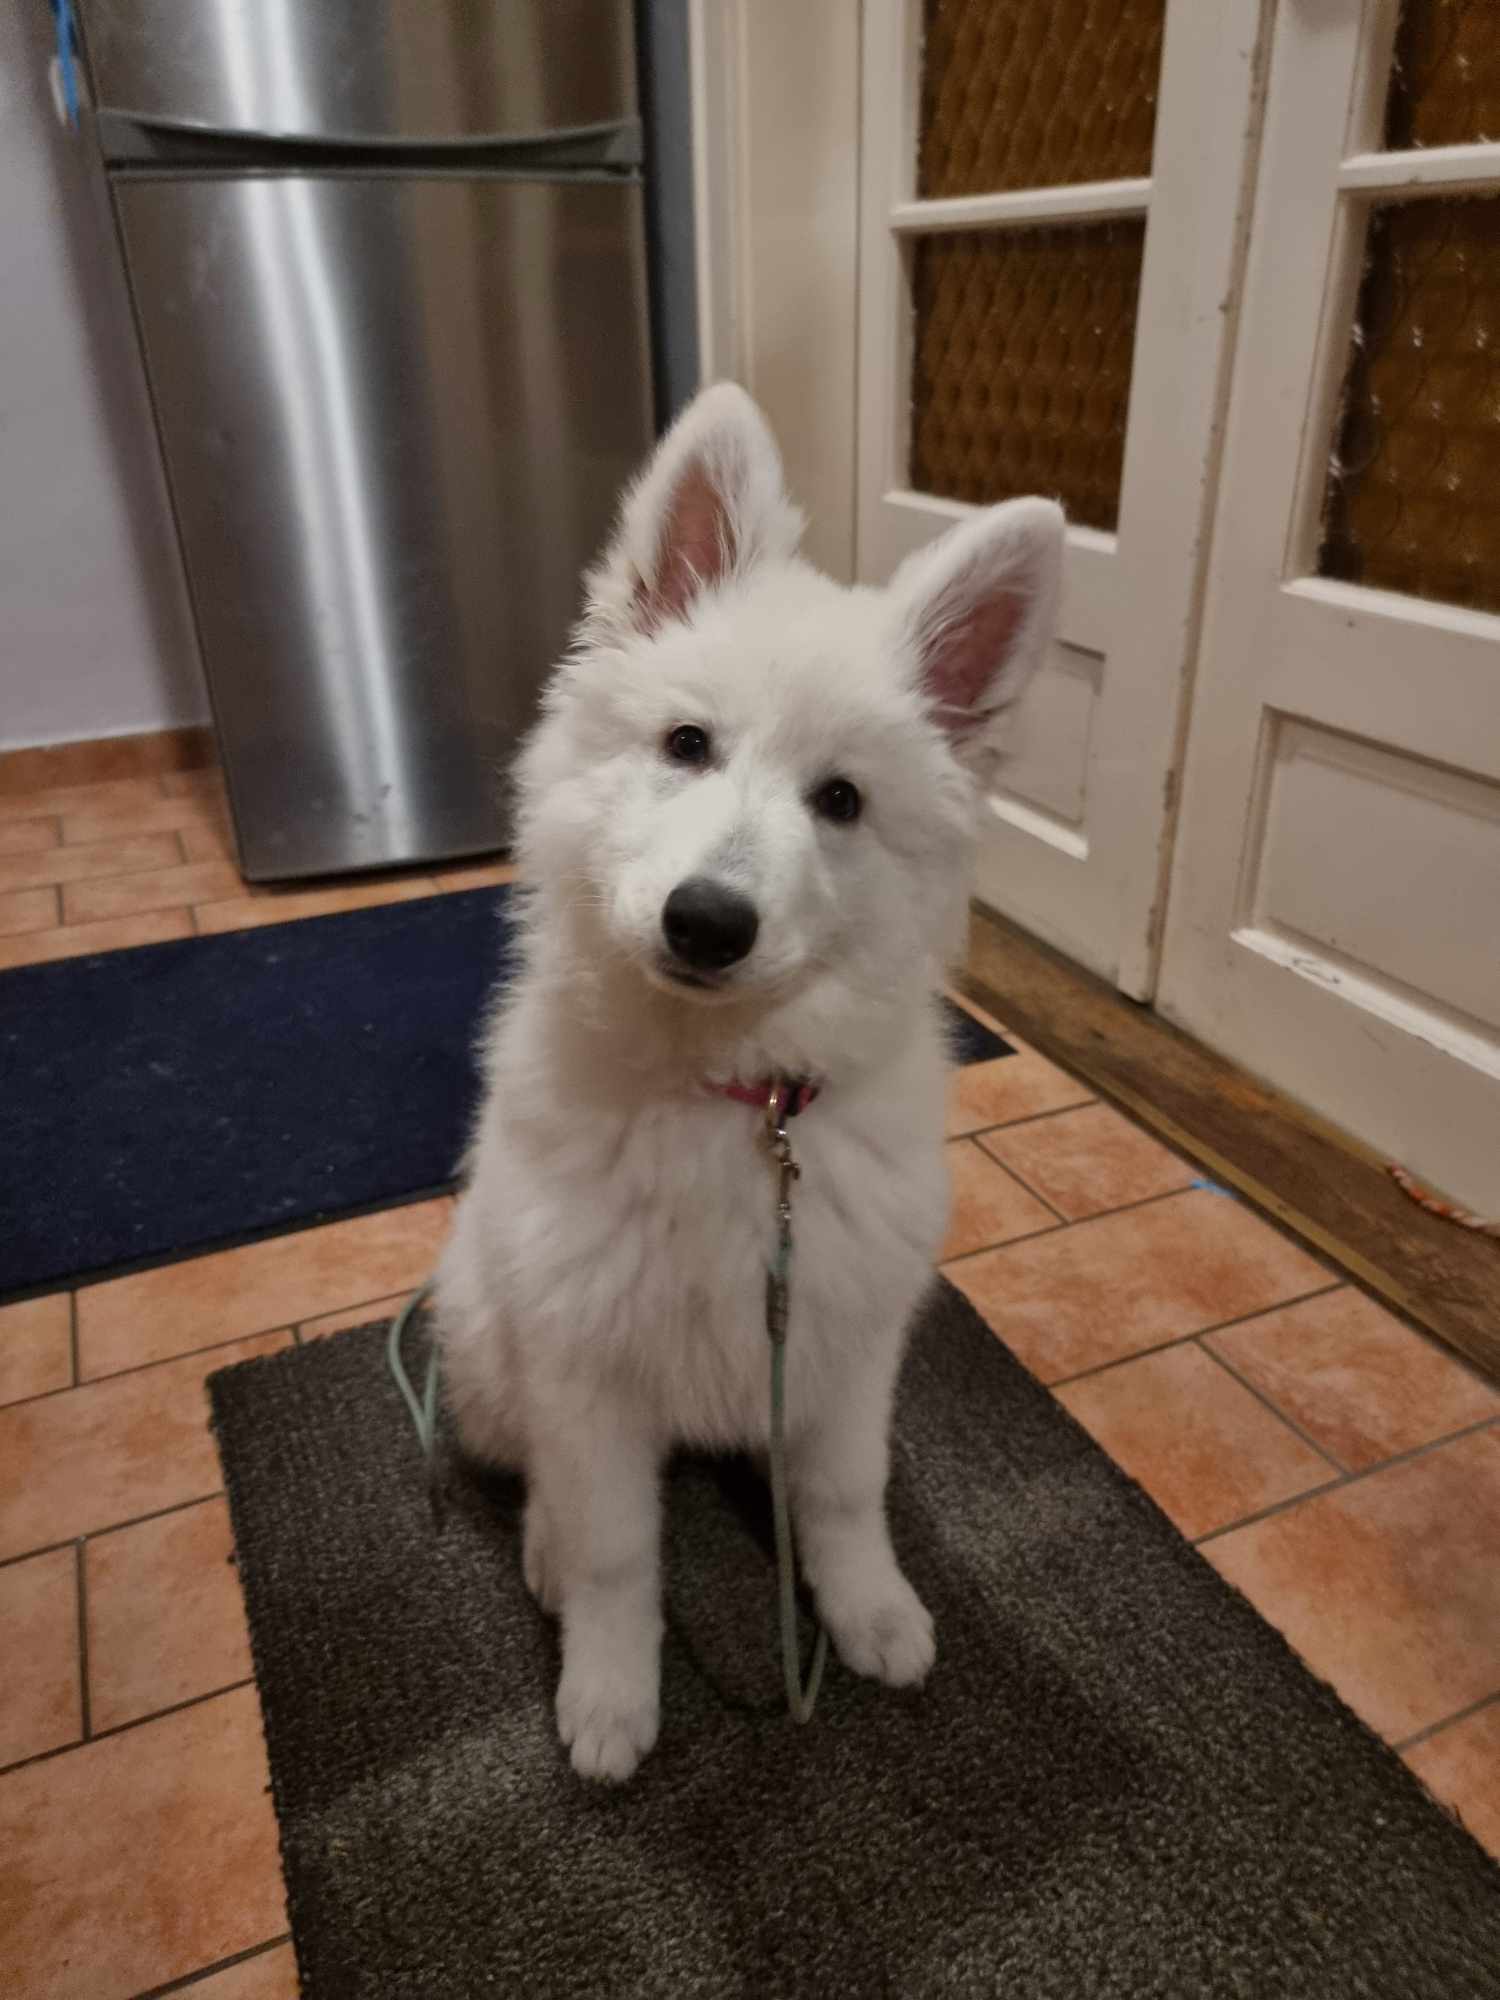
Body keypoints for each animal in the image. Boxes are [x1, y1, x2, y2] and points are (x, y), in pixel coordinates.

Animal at [434, 383, 1063, 1781]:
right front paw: (612, 1695)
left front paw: (867, 1608)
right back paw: (543, 1548)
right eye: (687, 743)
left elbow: (842, 1495)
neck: (738, 1104)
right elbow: (618, 1552)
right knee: (542, 1479)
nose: (707, 921)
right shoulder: (588, 1370)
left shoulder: (846, 1339)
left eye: (841, 799)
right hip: (491, 1347)